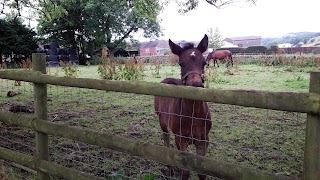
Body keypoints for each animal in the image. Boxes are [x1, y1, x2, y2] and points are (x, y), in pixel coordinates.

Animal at [155, 34, 212, 179]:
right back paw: (169, 169)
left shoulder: (203, 140)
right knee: (166, 140)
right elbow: (185, 172)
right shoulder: (181, 139)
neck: (194, 115)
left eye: (204, 63)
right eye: (181, 63)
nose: (196, 85)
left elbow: (201, 171)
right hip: (162, 121)